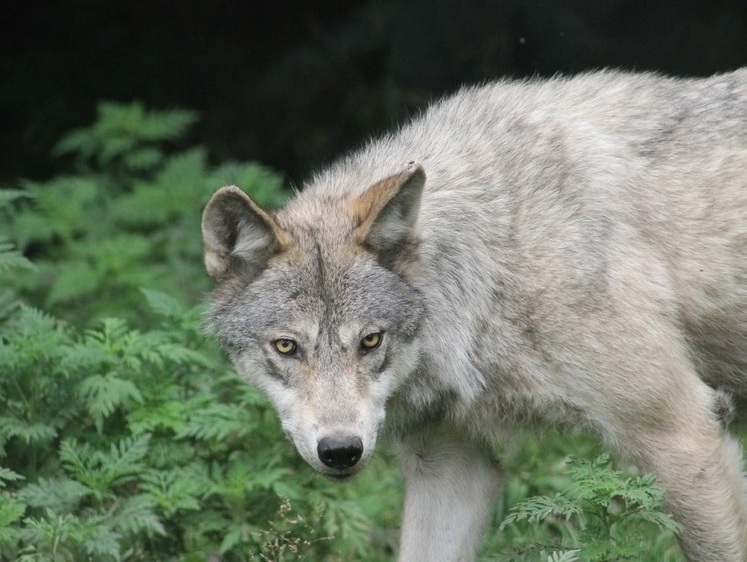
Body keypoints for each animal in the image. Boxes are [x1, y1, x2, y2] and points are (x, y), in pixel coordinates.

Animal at [200, 70, 747, 560]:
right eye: (286, 346)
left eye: (371, 341)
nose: (340, 450)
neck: (494, 264)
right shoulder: (450, 462)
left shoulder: (683, 434)